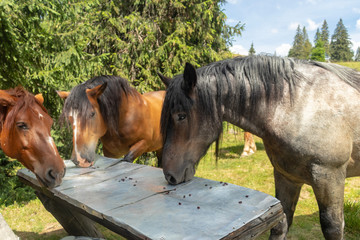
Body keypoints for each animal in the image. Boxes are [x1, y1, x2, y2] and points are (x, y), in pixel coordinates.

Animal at [159, 55, 360, 239]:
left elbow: (332, 227)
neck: (299, 106)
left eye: (181, 116)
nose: (169, 175)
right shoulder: (287, 176)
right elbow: (281, 223)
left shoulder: (329, 176)